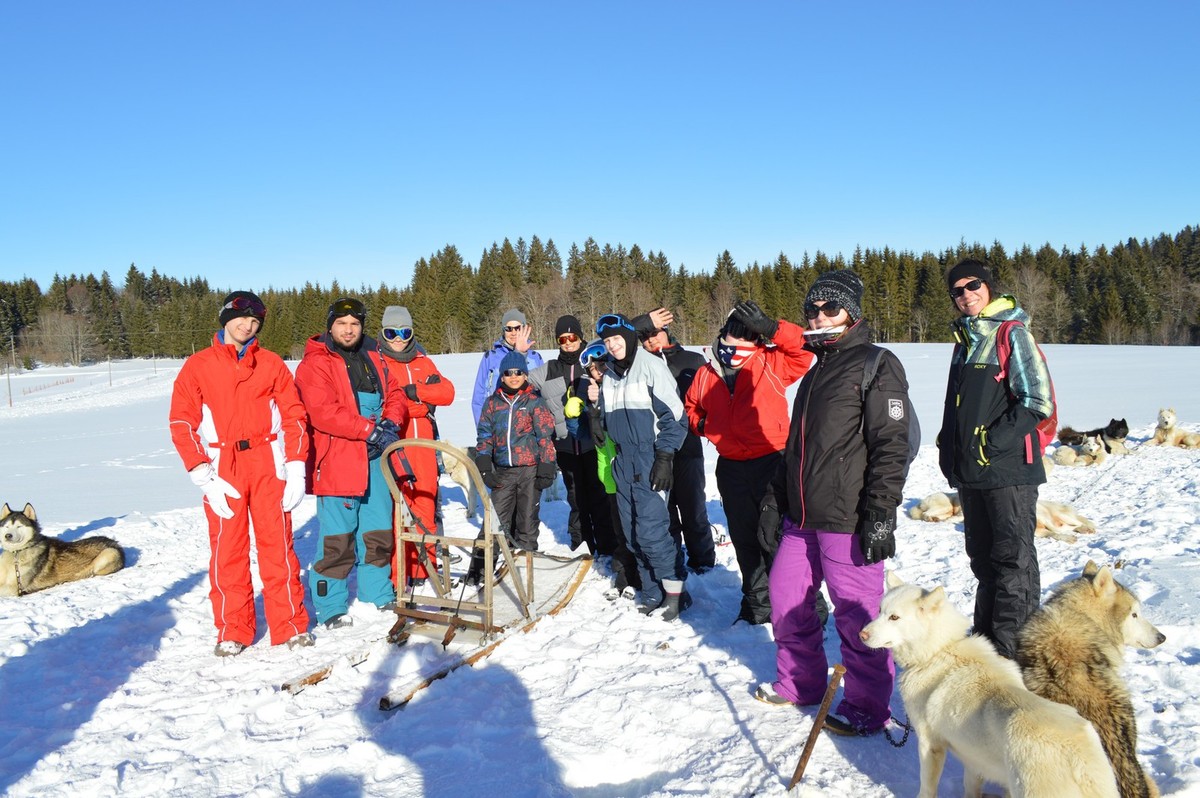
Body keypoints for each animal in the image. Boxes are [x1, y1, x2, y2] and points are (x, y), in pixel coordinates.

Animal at [859, 573, 1118, 796]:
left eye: (894, 617)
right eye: (880, 611)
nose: (861, 634)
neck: (939, 651)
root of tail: (1080, 762)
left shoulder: (930, 745)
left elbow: (927, 788)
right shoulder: (974, 760)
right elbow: (971, 787)